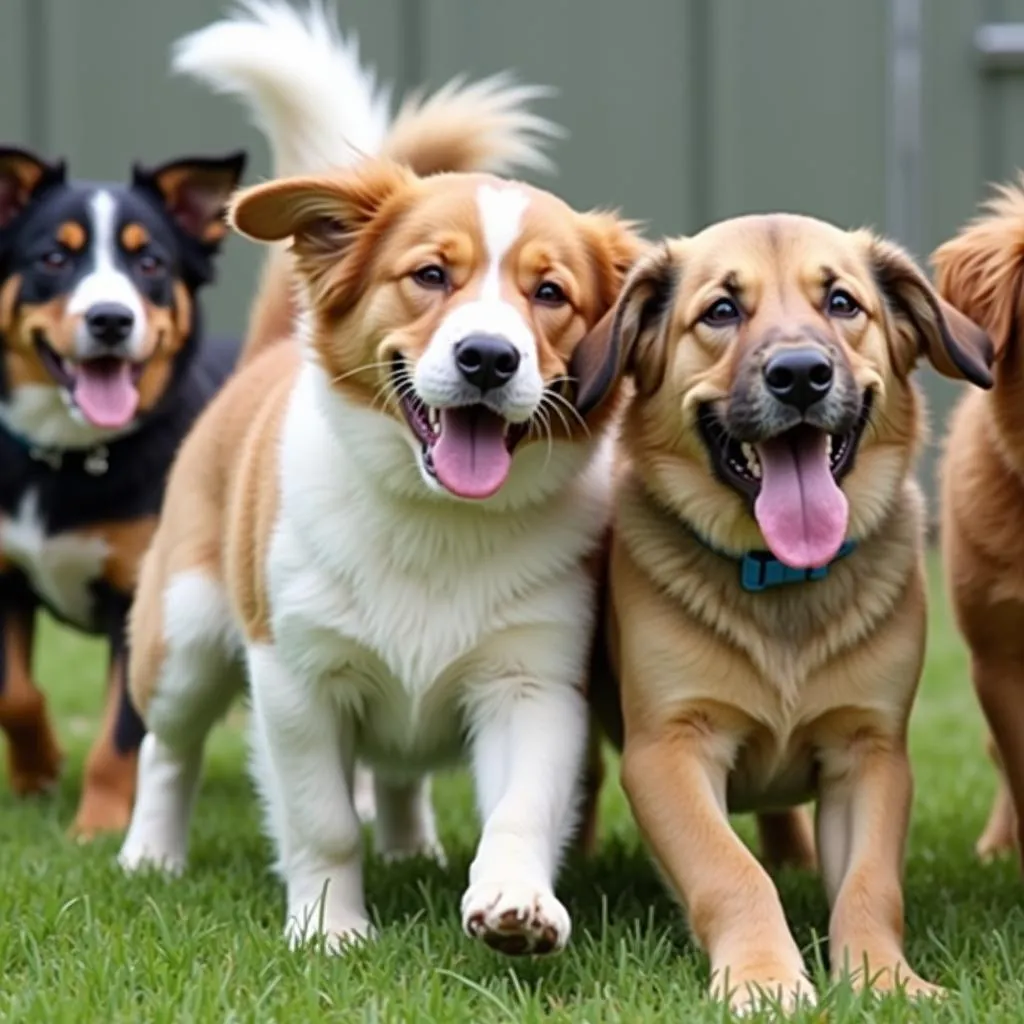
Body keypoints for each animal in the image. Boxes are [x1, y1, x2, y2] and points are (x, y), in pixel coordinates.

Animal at [0, 142, 245, 831]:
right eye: (54, 257)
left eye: (150, 262)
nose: (110, 319)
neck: (69, 458)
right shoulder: (5, 580)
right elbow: (15, 694)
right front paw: (38, 770)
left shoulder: (139, 603)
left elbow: (118, 735)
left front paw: (98, 827)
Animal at [116, 2, 634, 958]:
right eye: (430, 274)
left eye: (550, 293)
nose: (487, 357)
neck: (436, 519)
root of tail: (268, 350)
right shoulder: (296, 678)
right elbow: (321, 820)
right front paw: (329, 927)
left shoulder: (533, 682)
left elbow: (522, 808)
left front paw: (515, 900)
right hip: (186, 636)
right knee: (165, 747)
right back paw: (150, 856)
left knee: (398, 774)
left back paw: (410, 847)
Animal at [589, 211, 995, 1011]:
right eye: (721, 310)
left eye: (841, 303)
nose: (802, 374)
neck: (780, 578)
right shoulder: (668, 750)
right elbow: (729, 871)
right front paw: (764, 980)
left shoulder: (869, 753)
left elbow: (871, 885)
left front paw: (885, 979)